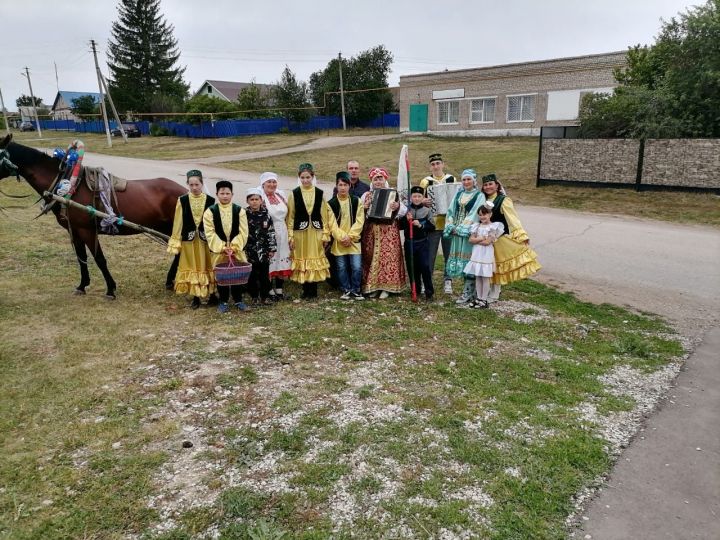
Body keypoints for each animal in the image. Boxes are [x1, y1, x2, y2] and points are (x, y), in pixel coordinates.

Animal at [1, 133, 186, 298]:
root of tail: (184, 190)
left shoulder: (87, 231)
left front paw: (110, 289)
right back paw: (170, 281)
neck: (69, 187)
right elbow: (81, 258)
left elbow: (99, 259)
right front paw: (82, 286)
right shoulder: (74, 231)